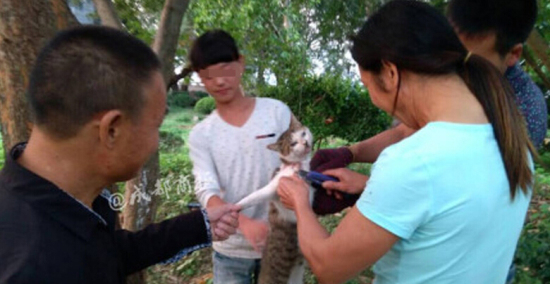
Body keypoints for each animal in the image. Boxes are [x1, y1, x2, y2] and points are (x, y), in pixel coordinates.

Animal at [237, 116, 314, 284]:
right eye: (293, 144)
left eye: (303, 134)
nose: (305, 143)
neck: (298, 166)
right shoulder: (274, 188)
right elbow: (254, 196)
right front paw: (234, 207)